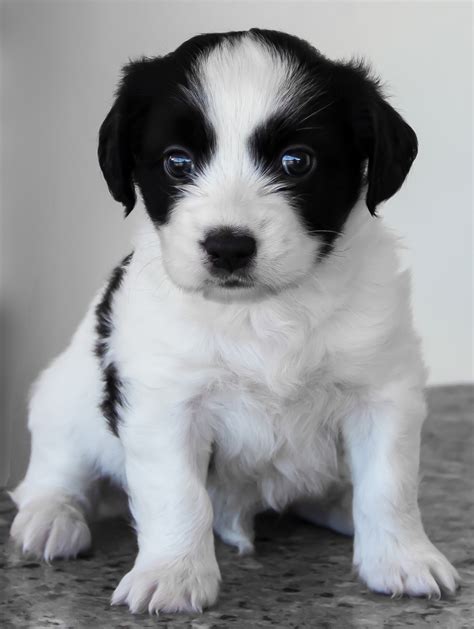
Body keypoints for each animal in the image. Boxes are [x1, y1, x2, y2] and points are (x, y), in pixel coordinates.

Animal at [8, 30, 460, 612]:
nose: (228, 248)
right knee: (55, 472)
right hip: (66, 401)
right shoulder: (164, 402)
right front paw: (174, 573)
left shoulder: (382, 390)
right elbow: (176, 495)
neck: (260, 309)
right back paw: (50, 519)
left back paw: (339, 500)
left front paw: (402, 559)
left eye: (297, 161)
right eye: (177, 163)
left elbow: (389, 484)